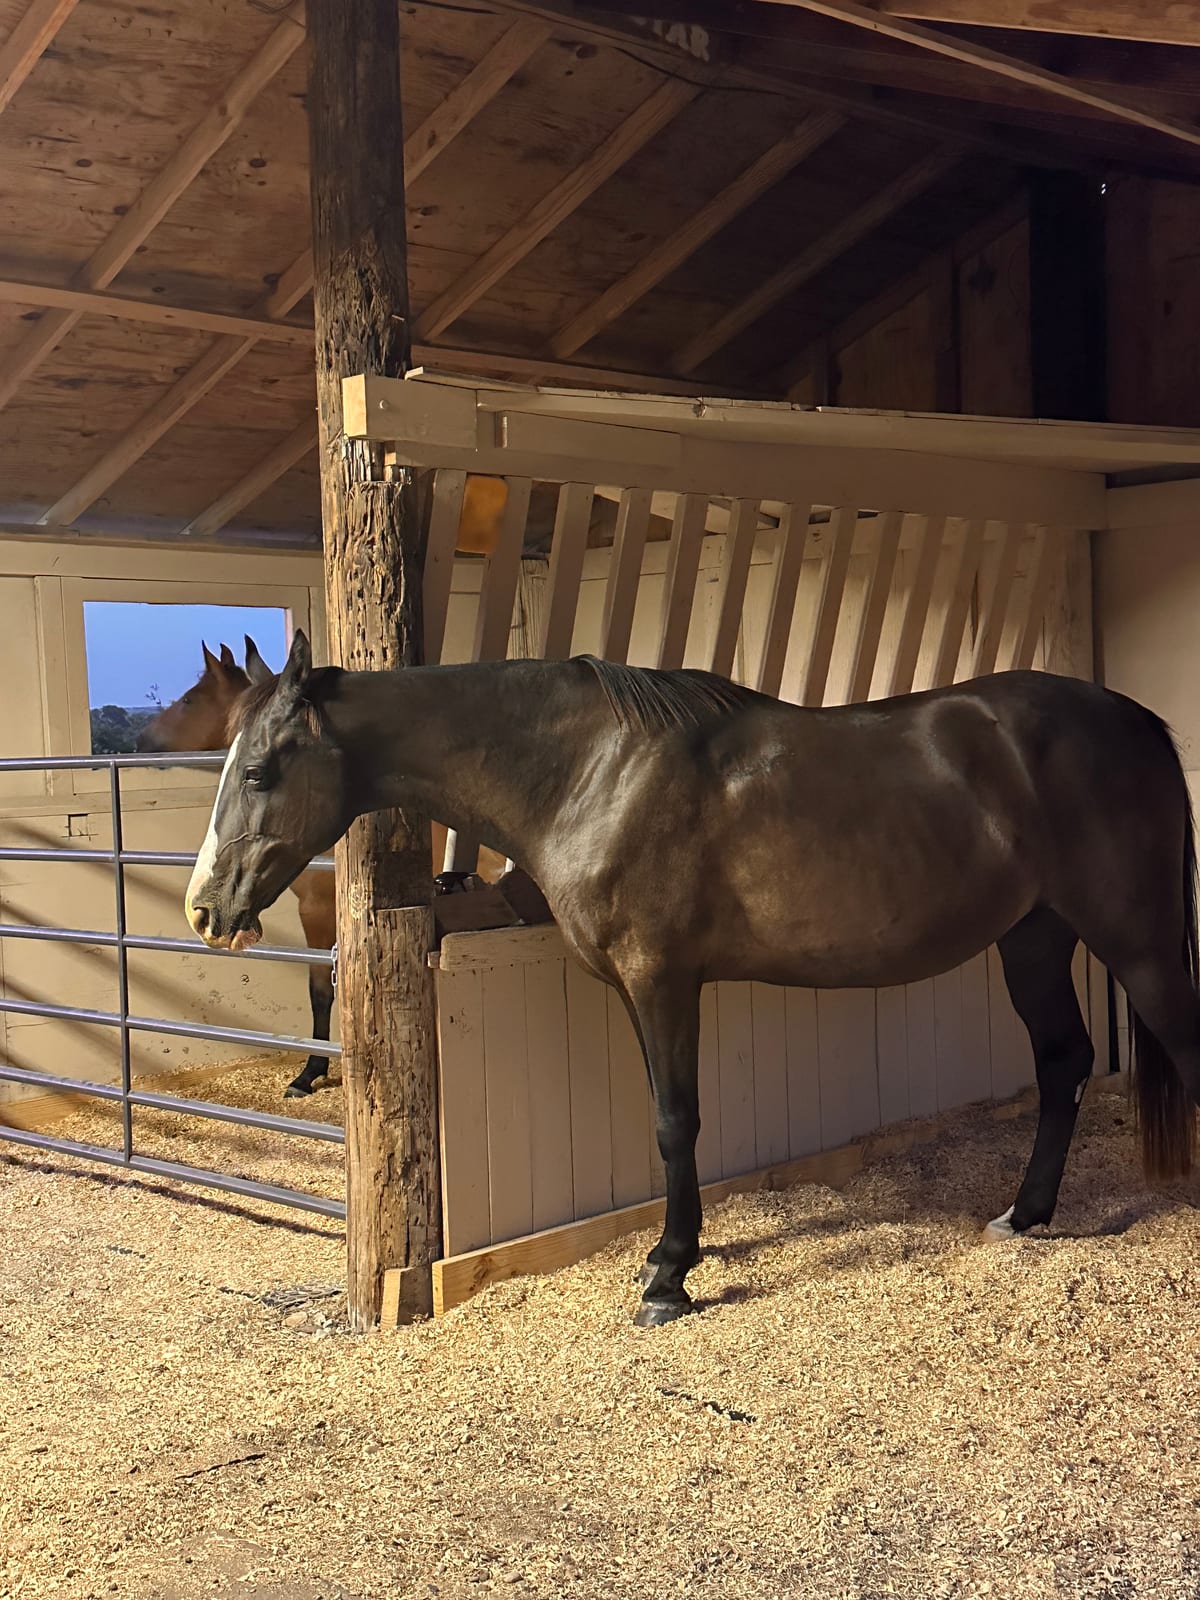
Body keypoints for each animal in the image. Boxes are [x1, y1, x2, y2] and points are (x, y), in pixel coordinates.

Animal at [183, 630, 1200, 1327]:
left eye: (262, 769)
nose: (204, 909)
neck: (593, 771)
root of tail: (1139, 721)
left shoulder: (663, 978)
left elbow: (677, 1123)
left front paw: (670, 1275)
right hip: (1033, 939)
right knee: (1064, 1062)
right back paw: (1024, 1216)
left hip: (1137, 939)